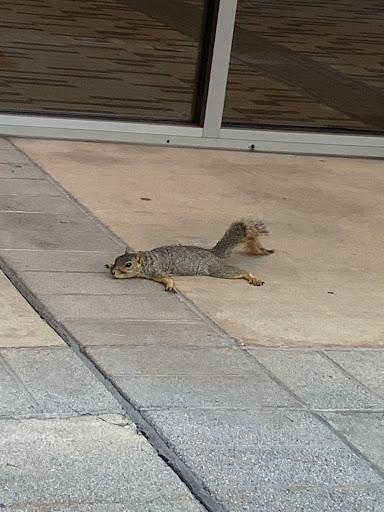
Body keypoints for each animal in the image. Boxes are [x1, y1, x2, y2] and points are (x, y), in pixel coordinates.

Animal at [105, 219, 272, 292]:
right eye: (116, 259)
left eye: (128, 265)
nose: (113, 272)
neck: (147, 261)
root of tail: (211, 252)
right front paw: (108, 264)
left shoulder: (156, 270)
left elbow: (167, 278)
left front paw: (170, 285)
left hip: (216, 270)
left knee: (239, 271)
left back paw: (252, 277)